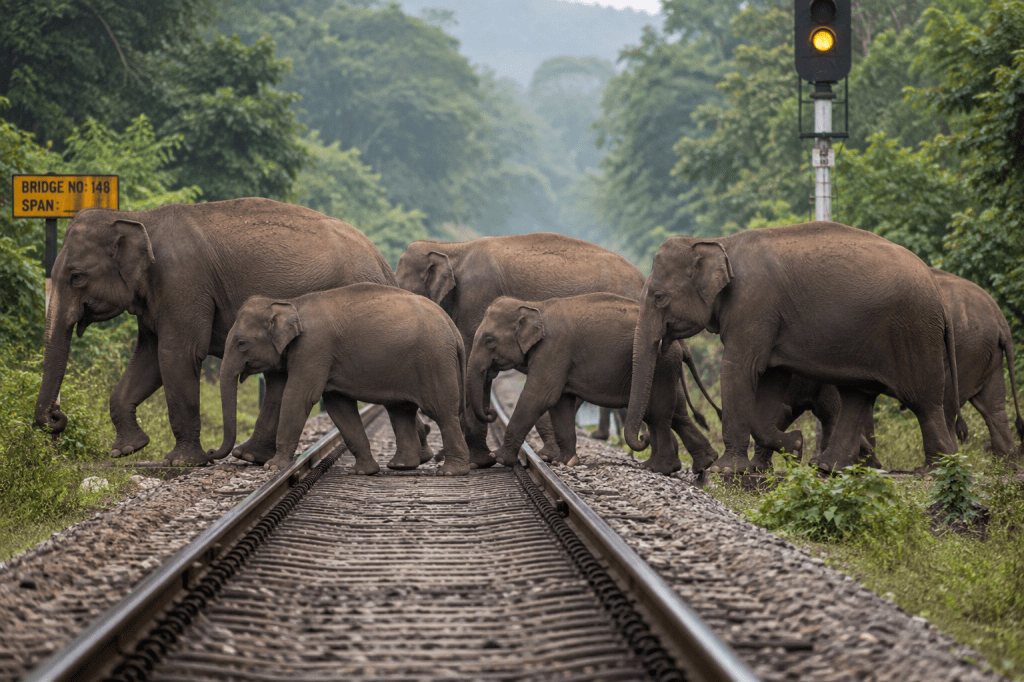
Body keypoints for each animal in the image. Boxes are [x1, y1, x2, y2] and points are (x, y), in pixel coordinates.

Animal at [34, 198, 403, 466]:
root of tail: (384, 264)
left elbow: (176, 355)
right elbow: (149, 359)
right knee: (279, 377)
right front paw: (127, 450)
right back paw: (248, 455)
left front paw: (181, 462)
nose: (56, 418)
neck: (136, 217)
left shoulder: (182, 283)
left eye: (76, 277)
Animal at [208, 284, 471, 476]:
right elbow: (338, 406)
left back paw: (451, 472)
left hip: (434, 360)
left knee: (442, 412)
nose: (210, 453)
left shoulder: (313, 348)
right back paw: (400, 466)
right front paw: (363, 472)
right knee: (401, 410)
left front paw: (273, 466)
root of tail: (453, 328)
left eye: (241, 343)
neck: (291, 302)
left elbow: (299, 396)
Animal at [468, 293, 720, 474]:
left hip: (662, 366)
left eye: (490, 341)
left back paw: (659, 468)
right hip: (665, 368)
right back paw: (703, 463)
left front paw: (499, 458)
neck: (533, 305)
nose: (490, 412)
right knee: (671, 413)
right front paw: (564, 462)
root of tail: (681, 345)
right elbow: (560, 402)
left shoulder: (554, 348)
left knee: (658, 413)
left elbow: (540, 396)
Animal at [626, 221, 968, 475]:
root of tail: (938, 295)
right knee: (858, 395)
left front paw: (726, 470)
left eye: (659, 297)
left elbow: (740, 369)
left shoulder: (753, 305)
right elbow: (770, 376)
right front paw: (796, 445)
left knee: (923, 401)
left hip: (914, 332)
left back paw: (937, 470)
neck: (719, 242)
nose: (641, 438)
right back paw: (826, 466)